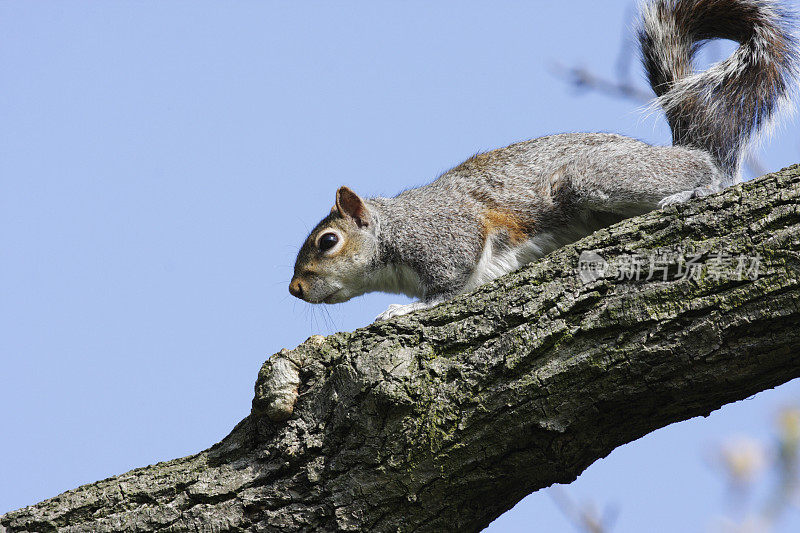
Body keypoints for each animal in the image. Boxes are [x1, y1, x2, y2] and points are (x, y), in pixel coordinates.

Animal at [290, 0, 796, 320]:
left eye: (328, 241)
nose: (294, 289)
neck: (395, 232)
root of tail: (685, 148)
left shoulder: (448, 235)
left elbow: (450, 284)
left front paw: (404, 309)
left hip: (592, 176)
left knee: (705, 173)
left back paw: (692, 190)